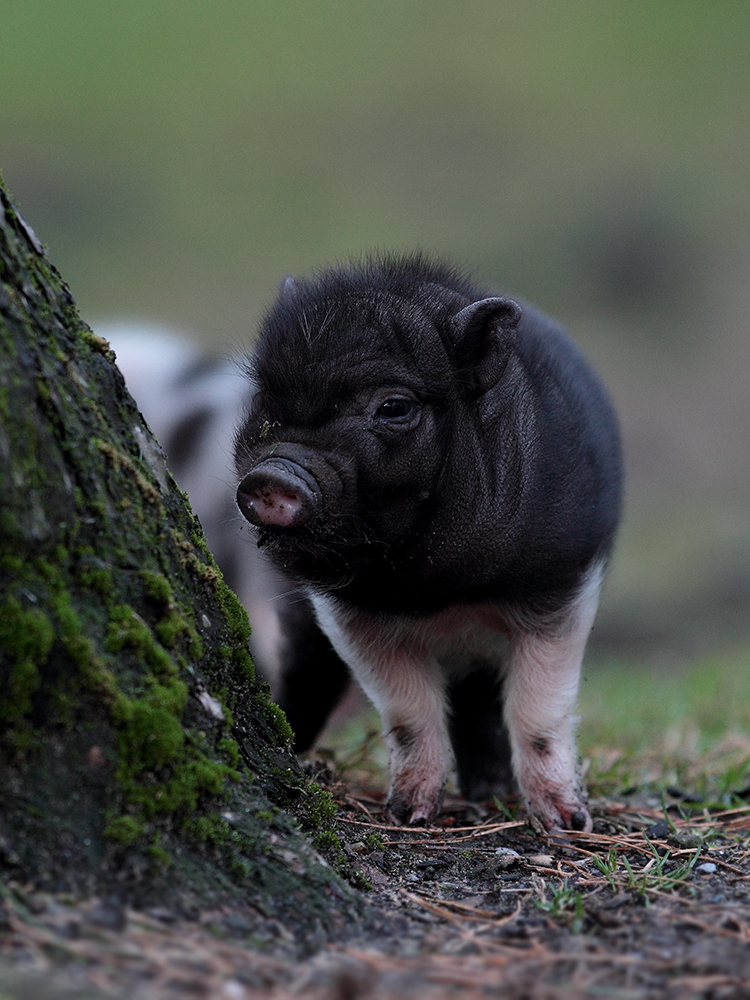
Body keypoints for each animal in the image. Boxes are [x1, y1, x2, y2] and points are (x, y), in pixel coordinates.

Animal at [235, 254, 624, 832]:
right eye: (264, 401)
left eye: (394, 406)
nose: (271, 476)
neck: (442, 592)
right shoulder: (351, 614)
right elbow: (407, 708)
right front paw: (410, 816)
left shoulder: (563, 581)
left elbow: (539, 705)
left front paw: (566, 824)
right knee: (310, 673)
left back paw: (492, 794)